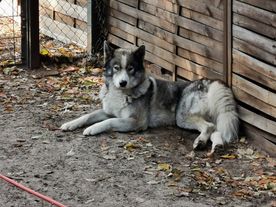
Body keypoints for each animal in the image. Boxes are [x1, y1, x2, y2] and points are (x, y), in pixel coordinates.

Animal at [61, 42, 239, 154]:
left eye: (130, 68)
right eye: (116, 68)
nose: (123, 82)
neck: (121, 93)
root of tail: (208, 81)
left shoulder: (136, 122)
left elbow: (108, 122)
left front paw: (92, 129)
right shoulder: (109, 112)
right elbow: (87, 116)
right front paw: (69, 124)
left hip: (182, 117)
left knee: (209, 127)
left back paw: (201, 141)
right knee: (216, 129)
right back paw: (216, 146)